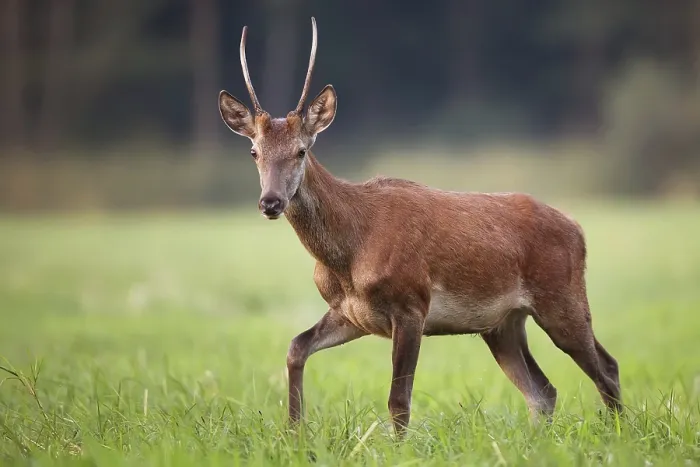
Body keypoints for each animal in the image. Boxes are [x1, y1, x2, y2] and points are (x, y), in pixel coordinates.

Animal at [218, 17, 622, 436]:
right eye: (254, 152)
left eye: (301, 150)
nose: (270, 202)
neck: (350, 255)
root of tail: (577, 229)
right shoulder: (351, 312)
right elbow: (296, 347)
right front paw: (295, 434)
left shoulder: (411, 302)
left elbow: (399, 400)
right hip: (503, 323)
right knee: (543, 390)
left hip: (562, 297)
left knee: (606, 368)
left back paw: (618, 433)